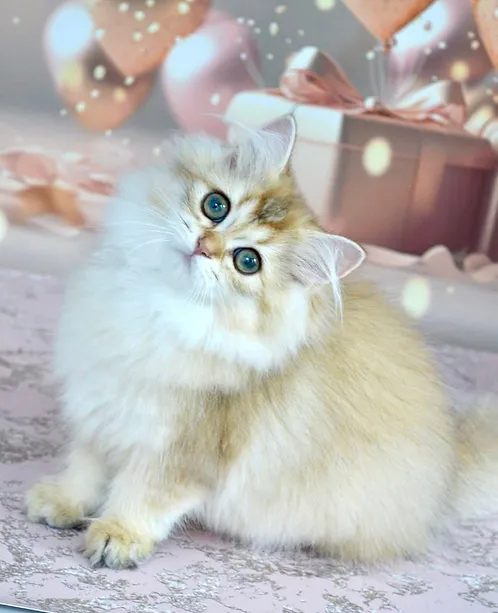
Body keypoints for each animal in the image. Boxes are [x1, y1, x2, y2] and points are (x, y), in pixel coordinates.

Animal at [26, 115, 498, 569]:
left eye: (247, 261)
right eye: (216, 205)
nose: (204, 245)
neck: (157, 306)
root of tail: (449, 472)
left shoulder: (180, 450)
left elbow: (143, 495)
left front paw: (118, 536)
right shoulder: (100, 411)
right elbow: (85, 470)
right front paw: (63, 501)